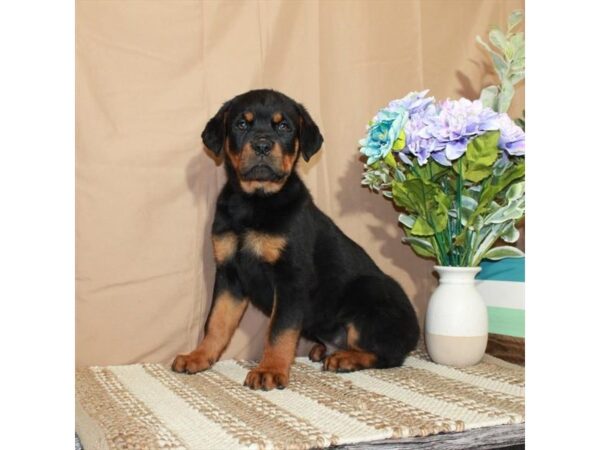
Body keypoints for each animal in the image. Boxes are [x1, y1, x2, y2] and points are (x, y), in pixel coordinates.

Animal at [171, 89, 420, 390]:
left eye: (284, 127)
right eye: (241, 124)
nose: (263, 145)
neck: (254, 202)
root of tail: (415, 332)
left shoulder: (291, 277)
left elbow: (280, 330)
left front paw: (269, 370)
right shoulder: (229, 273)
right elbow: (217, 322)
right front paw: (199, 357)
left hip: (370, 293)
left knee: (389, 354)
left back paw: (345, 358)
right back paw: (324, 350)